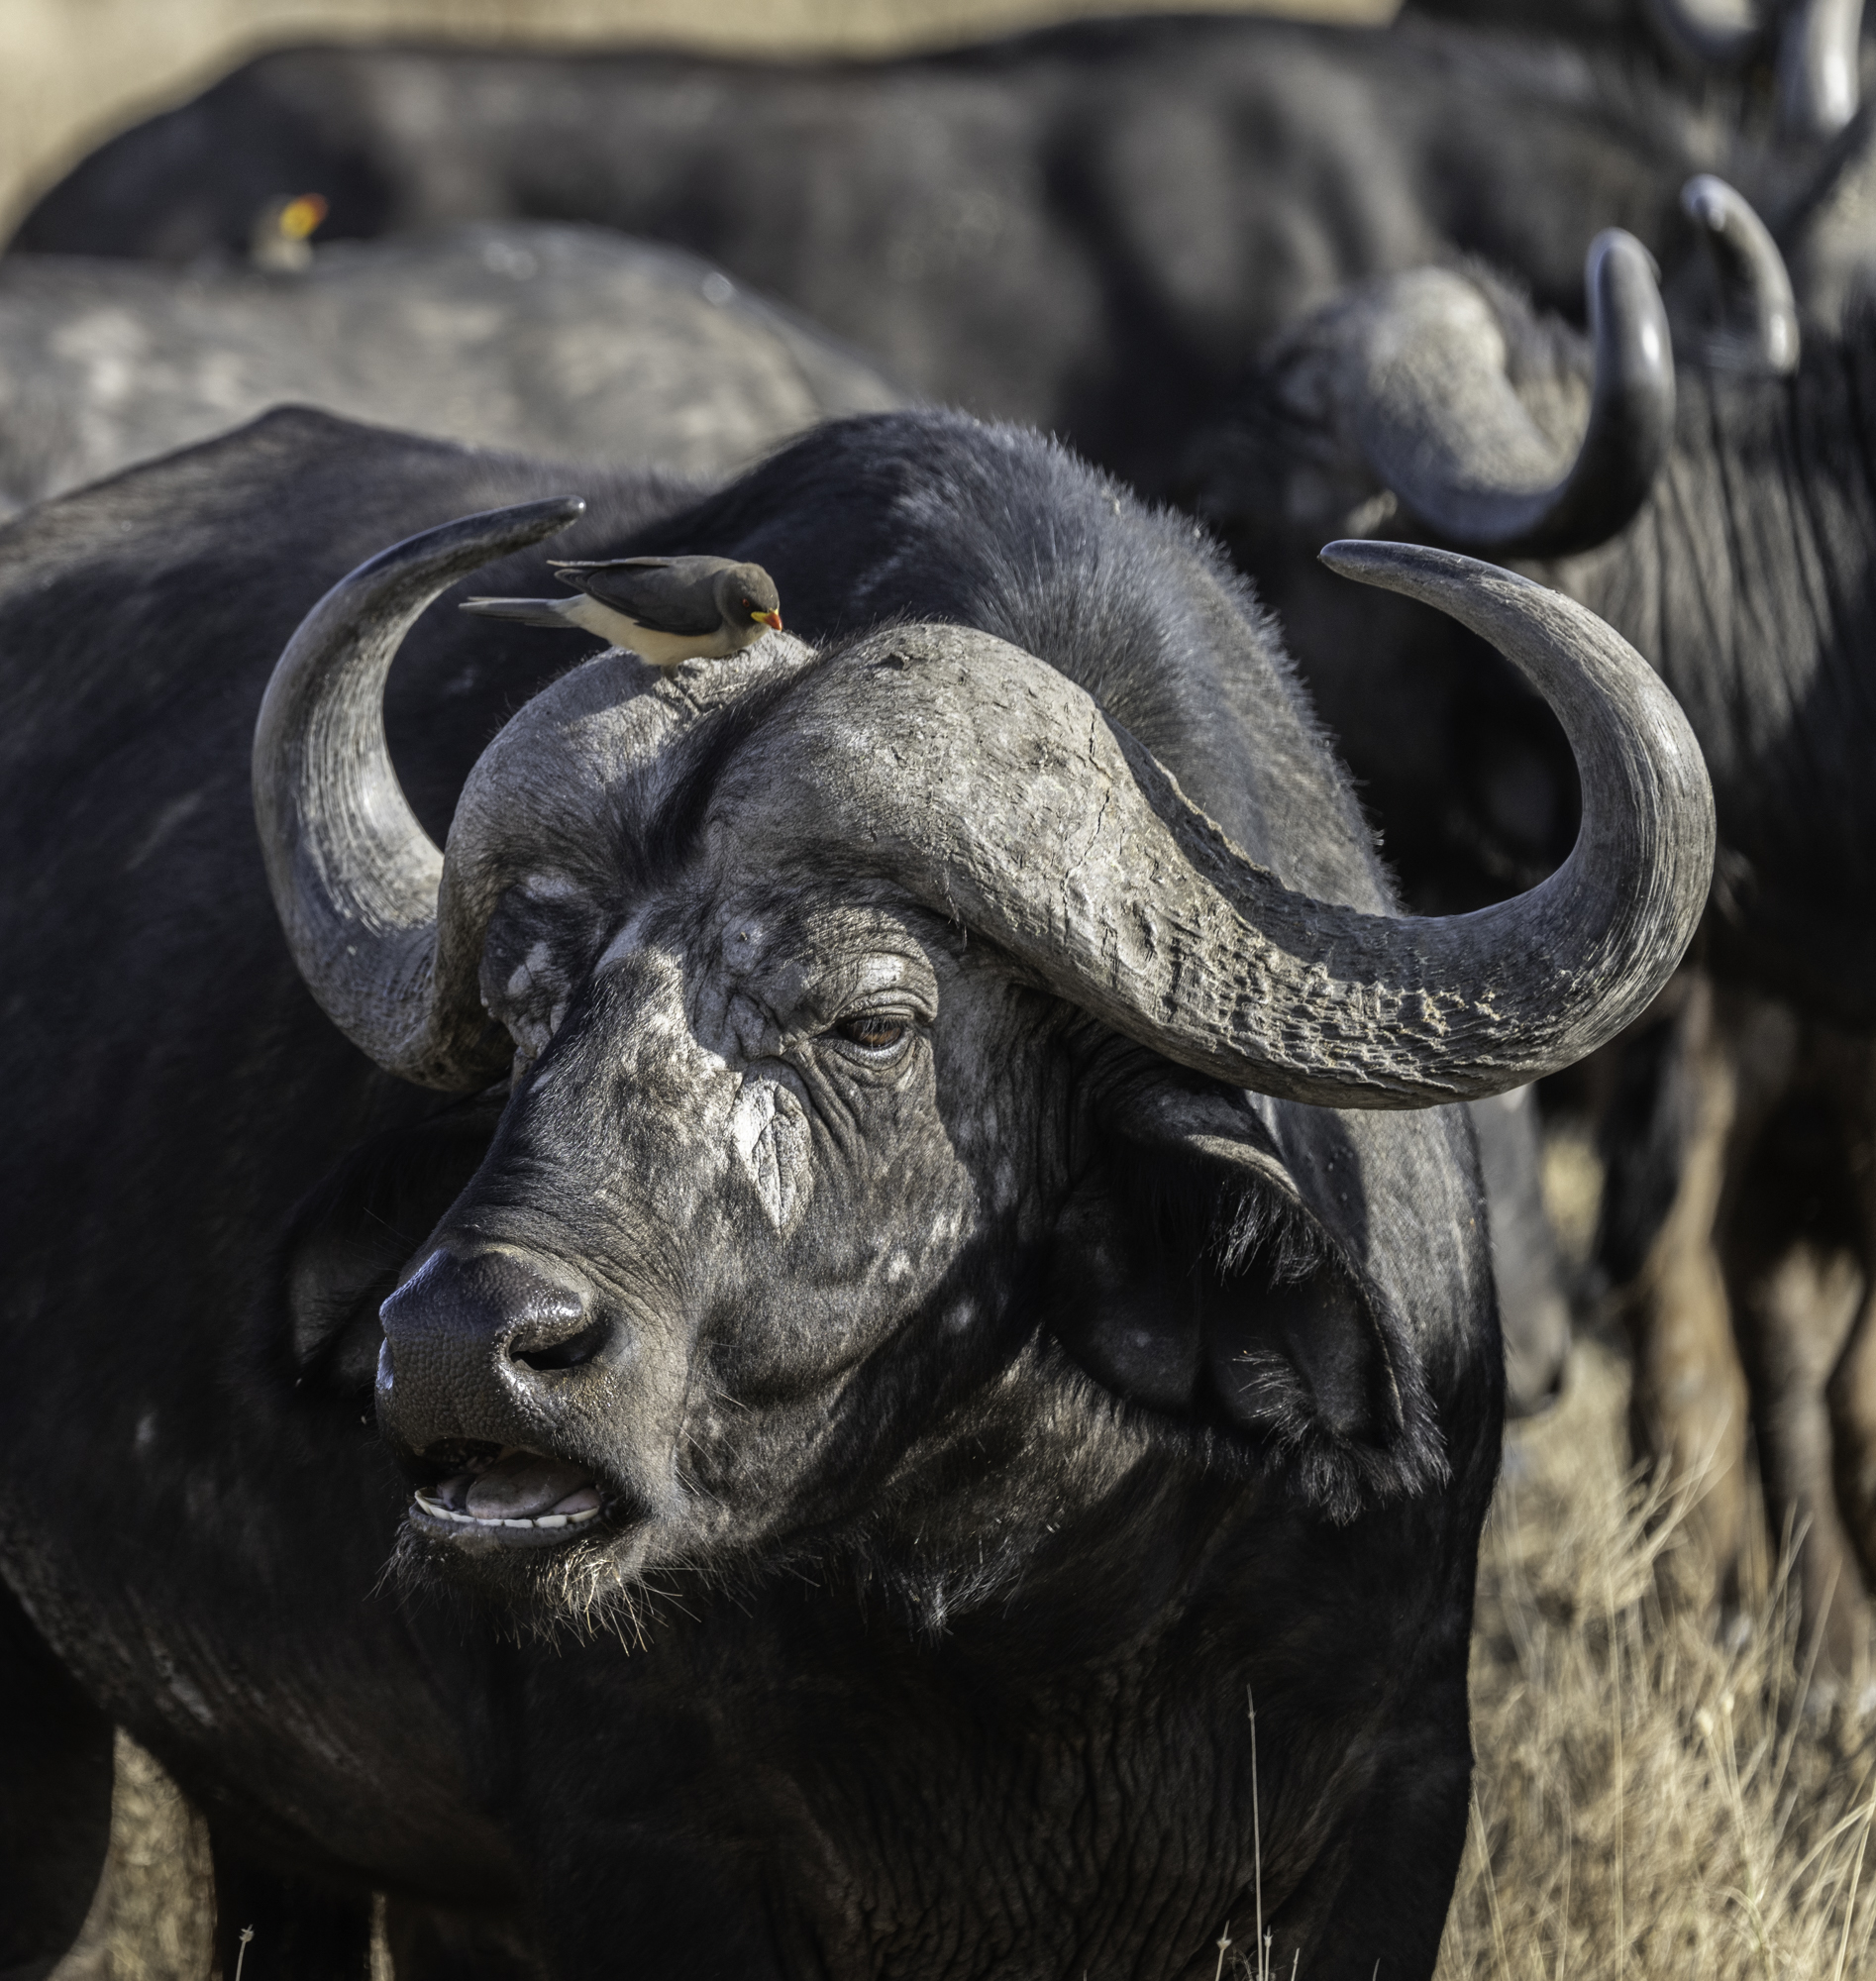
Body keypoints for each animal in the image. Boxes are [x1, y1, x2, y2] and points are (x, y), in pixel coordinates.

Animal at [0, 405, 1709, 1977]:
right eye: (525, 1005)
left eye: (872, 1023)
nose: (451, 1350)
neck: (1018, 1604)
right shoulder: (633, 1855)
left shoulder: (1392, 1809)